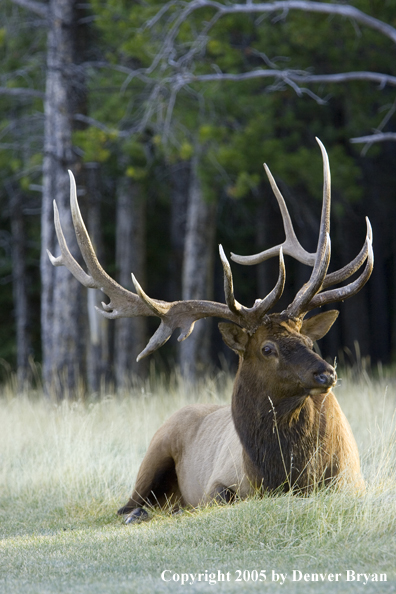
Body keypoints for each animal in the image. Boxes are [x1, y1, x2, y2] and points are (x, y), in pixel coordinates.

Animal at [48, 139, 372, 524]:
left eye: (308, 340)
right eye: (267, 348)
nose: (326, 373)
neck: (288, 474)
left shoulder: (352, 482)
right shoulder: (220, 481)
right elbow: (218, 497)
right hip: (155, 448)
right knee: (127, 504)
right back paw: (143, 512)